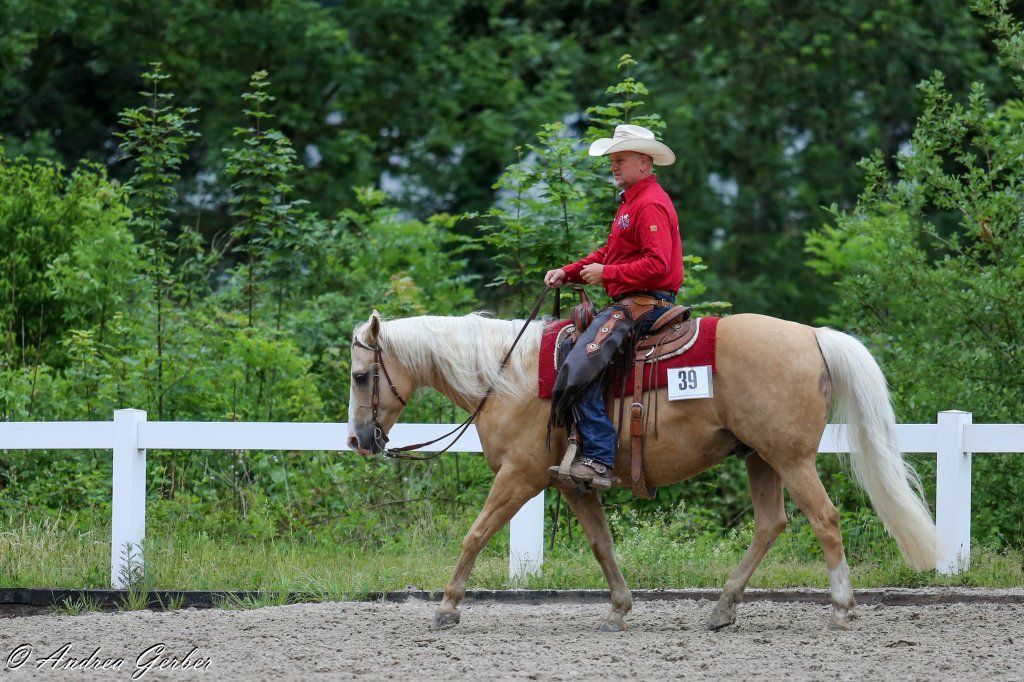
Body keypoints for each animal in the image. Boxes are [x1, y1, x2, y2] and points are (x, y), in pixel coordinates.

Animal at [346, 309, 939, 632]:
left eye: (360, 375)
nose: (358, 440)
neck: (506, 376)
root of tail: (813, 335)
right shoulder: (573, 482)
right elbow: (601, 544)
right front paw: (619, 609)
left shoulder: (520, 476)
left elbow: (475, 534)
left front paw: (447, 608)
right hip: (761, 459)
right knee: (770, 526)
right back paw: (721, 609)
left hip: (791, 459)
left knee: (825, 520)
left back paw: (840, 609)